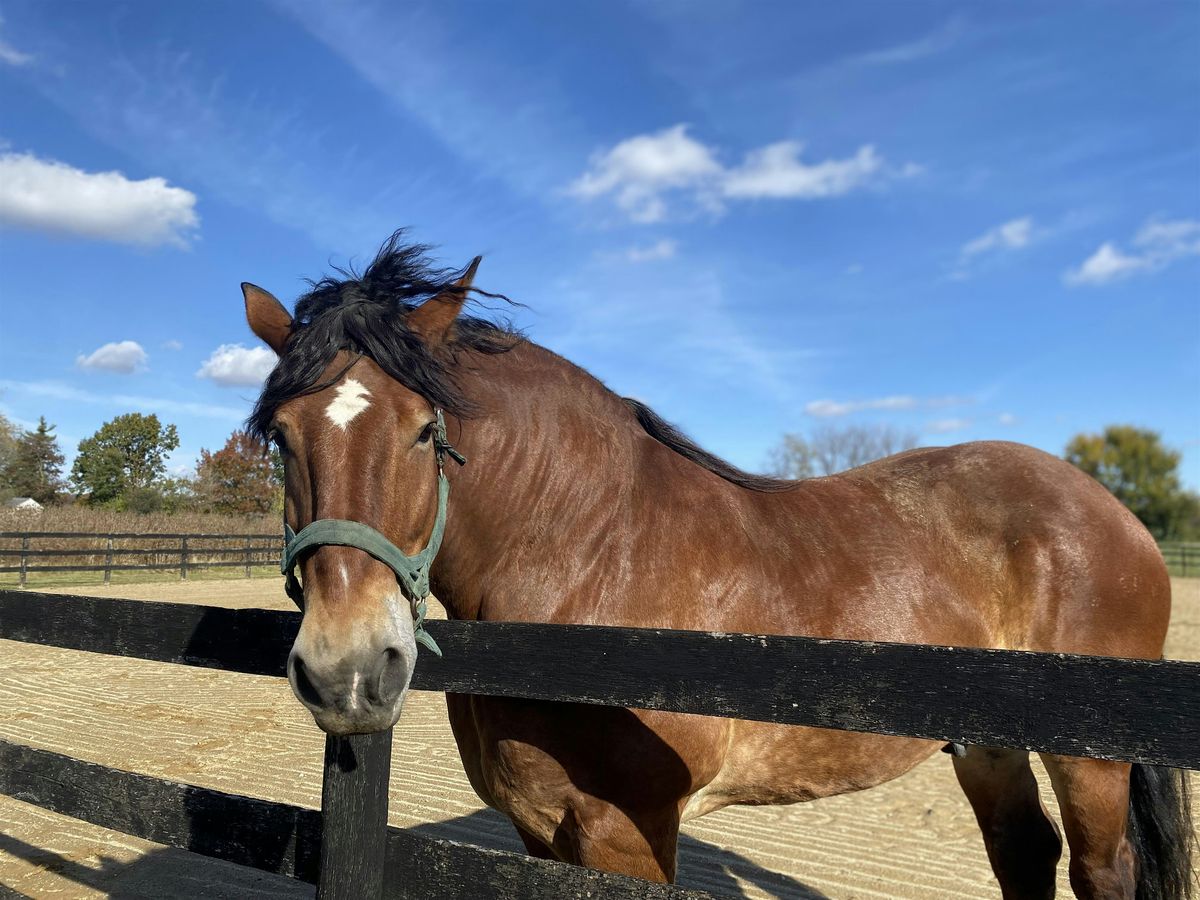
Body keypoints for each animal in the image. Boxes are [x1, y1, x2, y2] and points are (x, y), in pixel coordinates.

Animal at [241, 236, 1190, 897]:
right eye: (281, 436)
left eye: (424, 432)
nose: (348, 670)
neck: (592, 554)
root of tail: (1111, 511)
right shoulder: (538, 830)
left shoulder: (628, 834)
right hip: (987, 745)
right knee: (1024, 854)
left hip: (1090, 765)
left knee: (1100, 870)